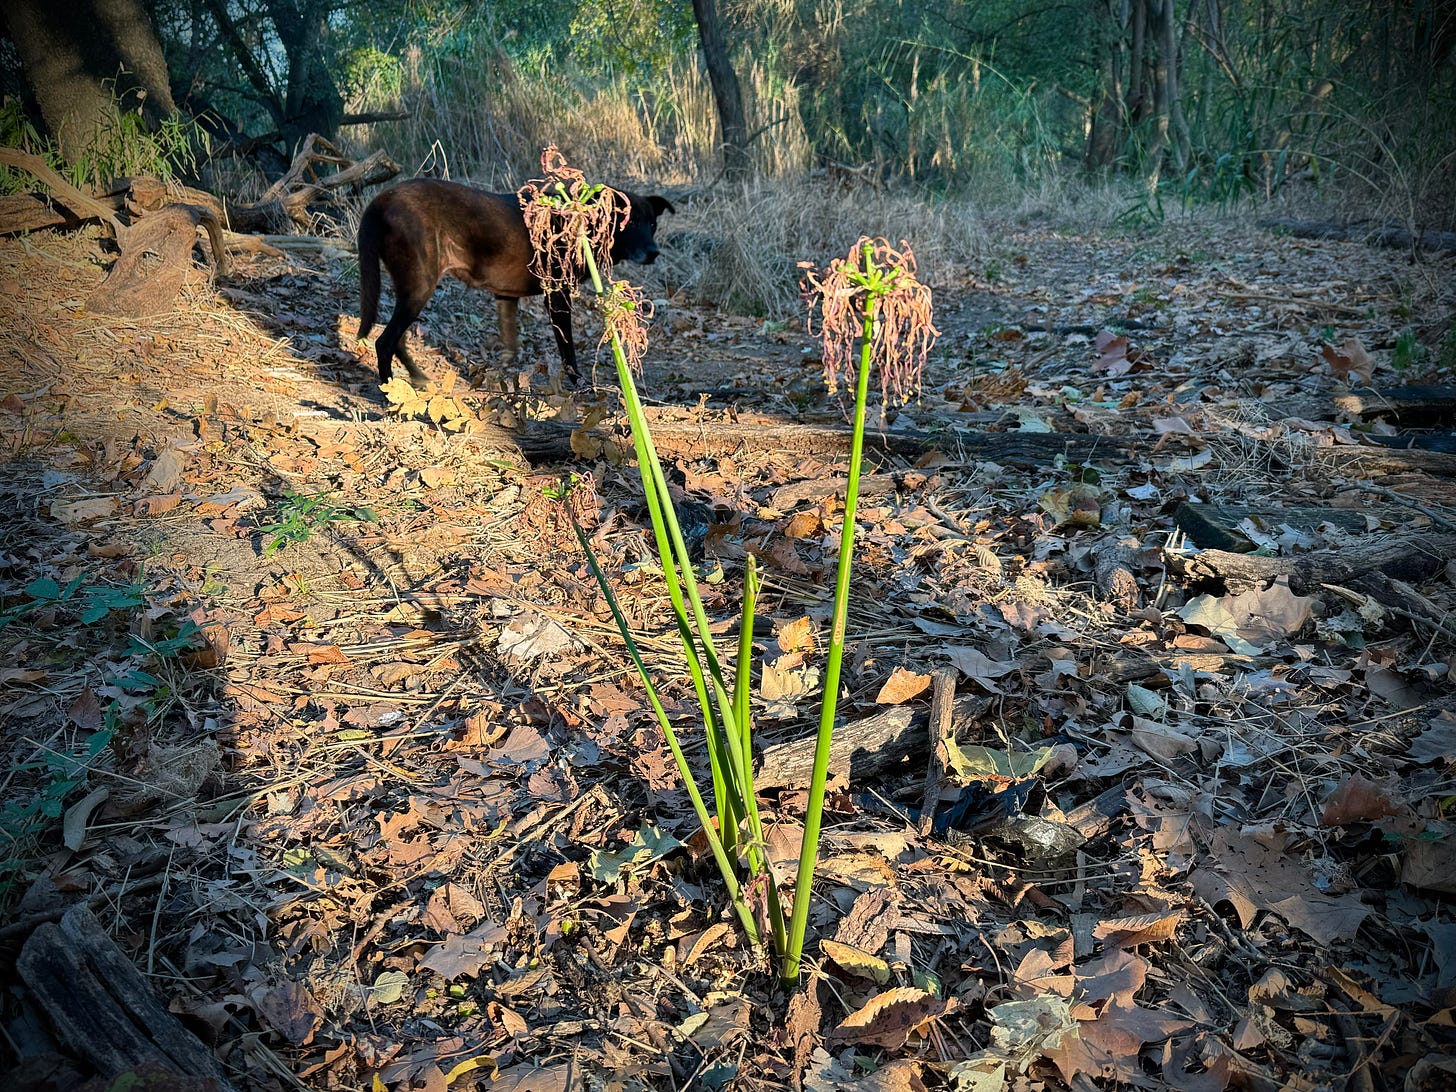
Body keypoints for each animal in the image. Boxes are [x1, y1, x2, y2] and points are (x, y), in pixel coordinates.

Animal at [355, 178, 672, 384]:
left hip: (411, 289)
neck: (582, 223)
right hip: (420, 286)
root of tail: (379, 201)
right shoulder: (557, 297)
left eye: (652, 224)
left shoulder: (506, 297)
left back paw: (416, 378)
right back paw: (389, 391)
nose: (654, 252)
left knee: (396, 339)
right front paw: (578, 384)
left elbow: (510, 346)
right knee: (384, 341)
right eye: (630, 222)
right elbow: (567, 348)